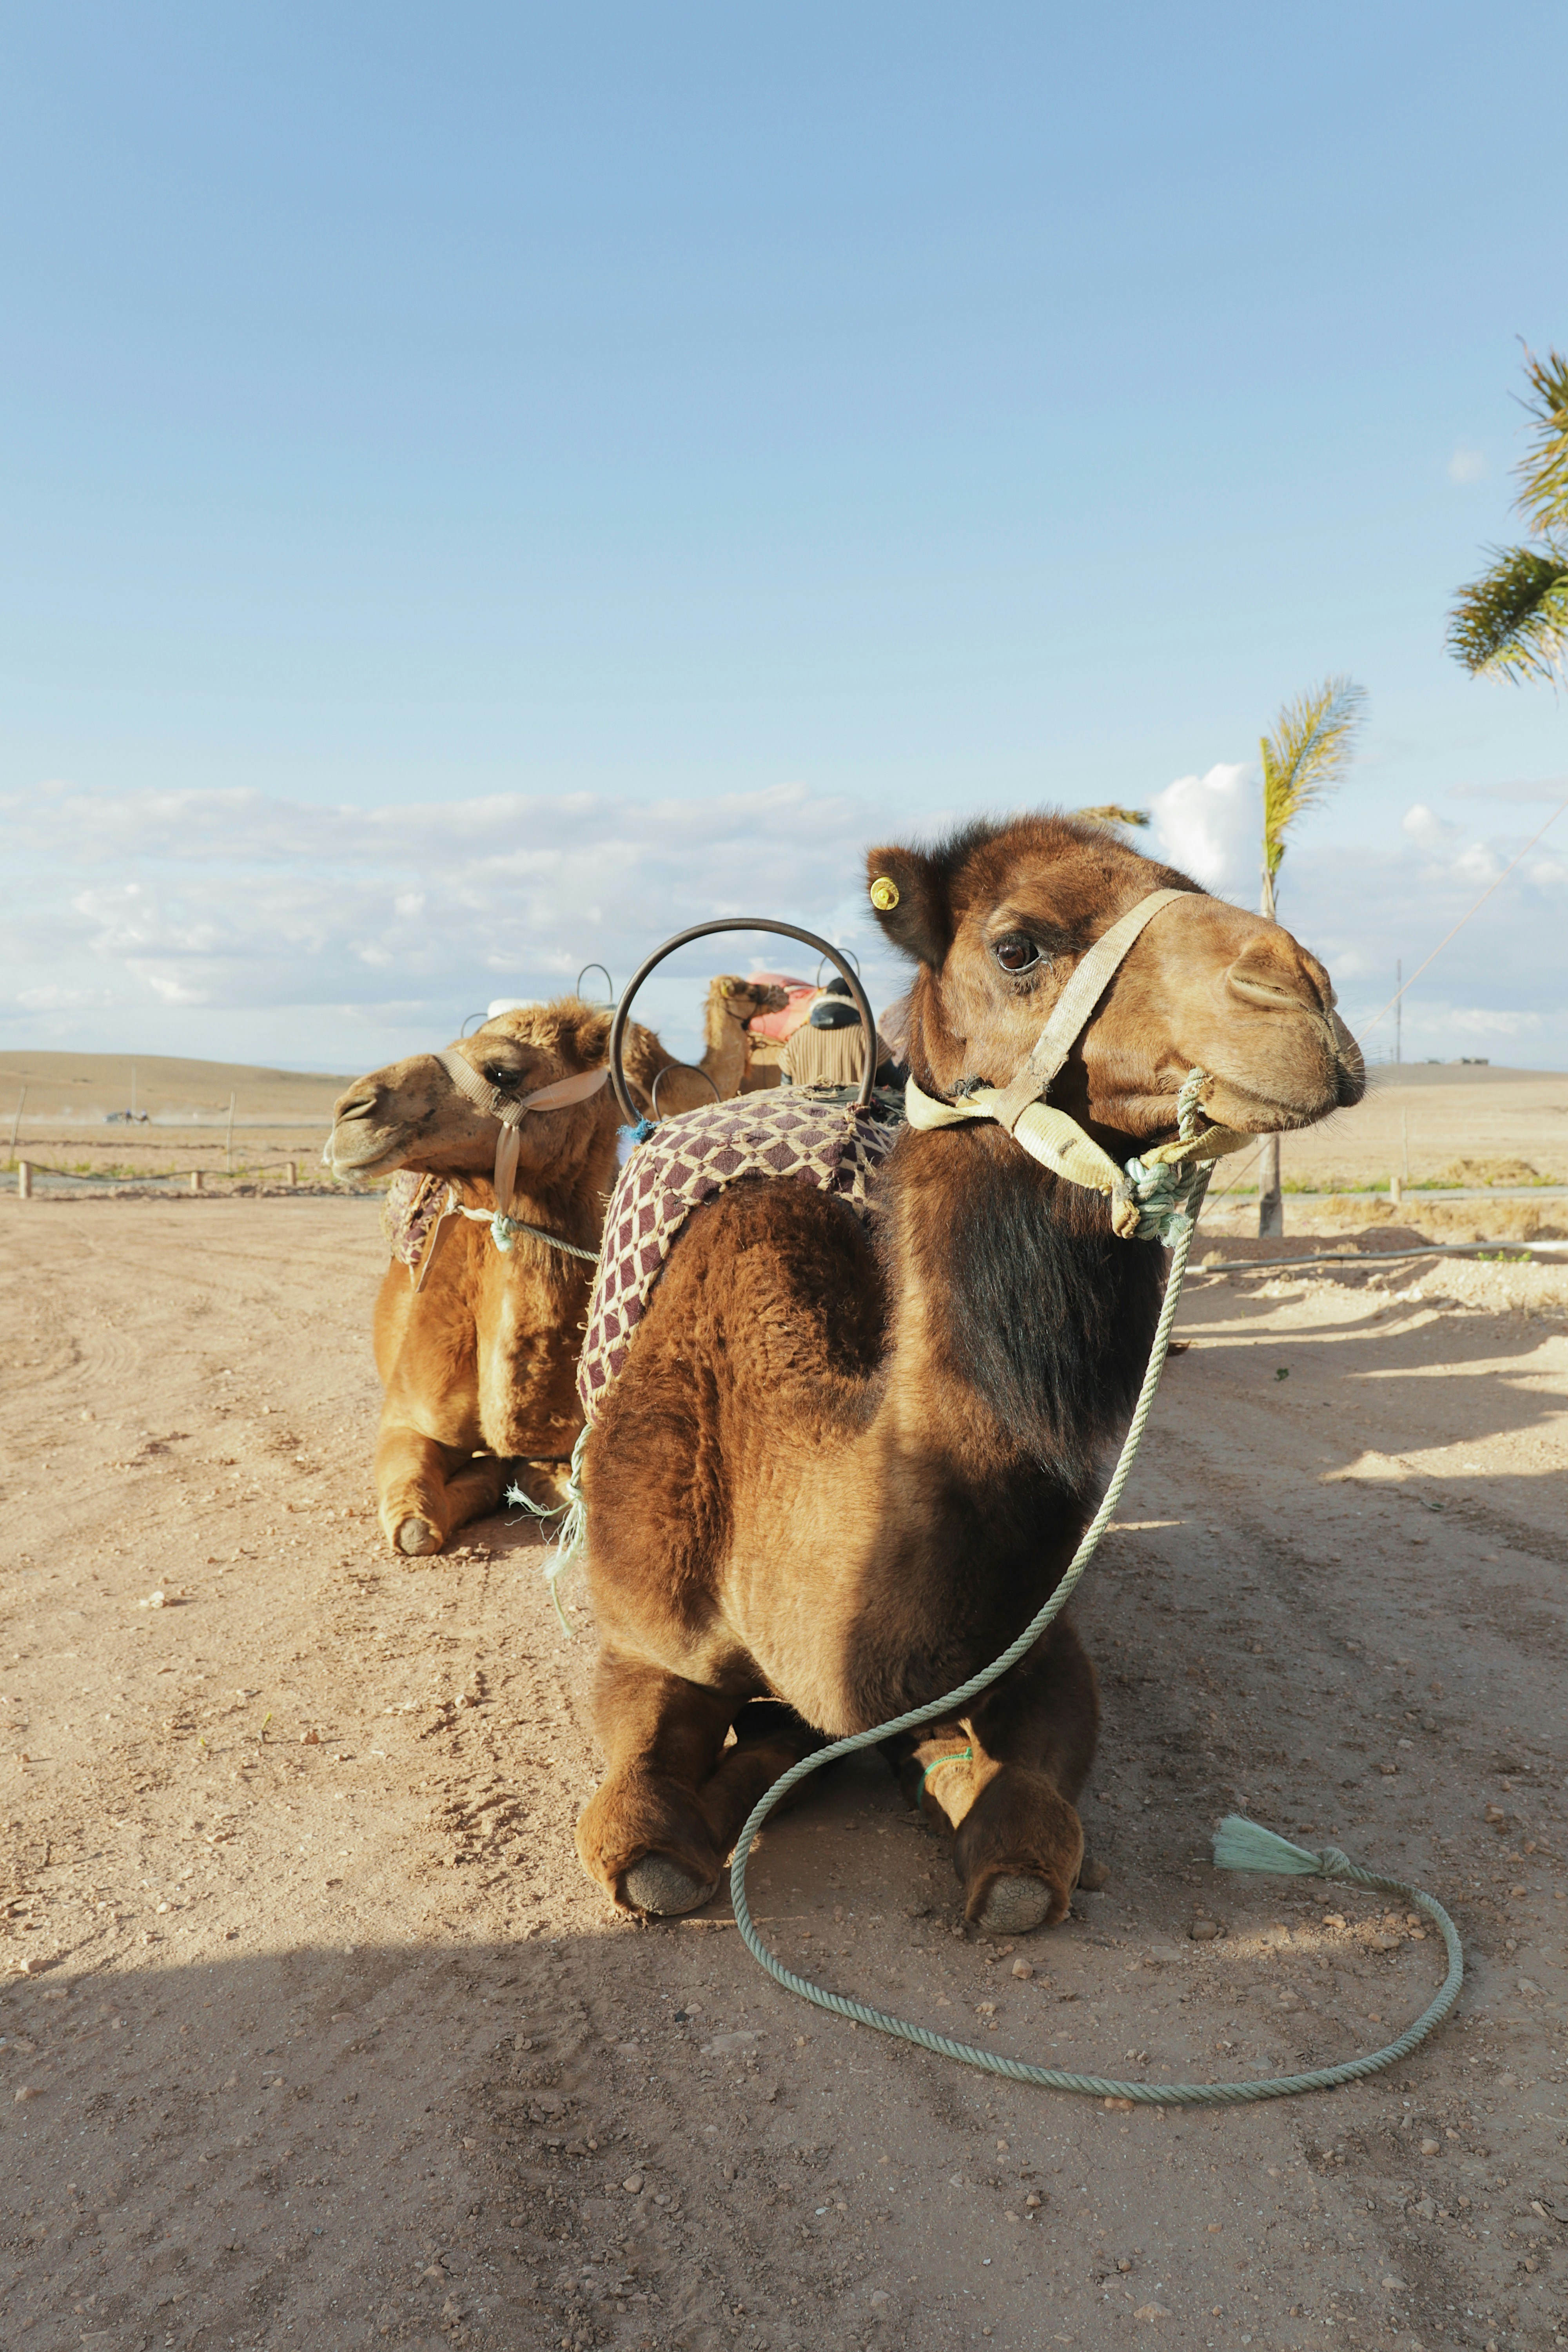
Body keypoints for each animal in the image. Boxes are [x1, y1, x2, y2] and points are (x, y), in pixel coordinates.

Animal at [572, 815, 1364, 1932]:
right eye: (1017, 945)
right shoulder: (643, 1639)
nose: (1300, 997)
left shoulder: (1036, 1638)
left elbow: (1026, 1842)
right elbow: (641, 1832)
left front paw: (944, 1775)